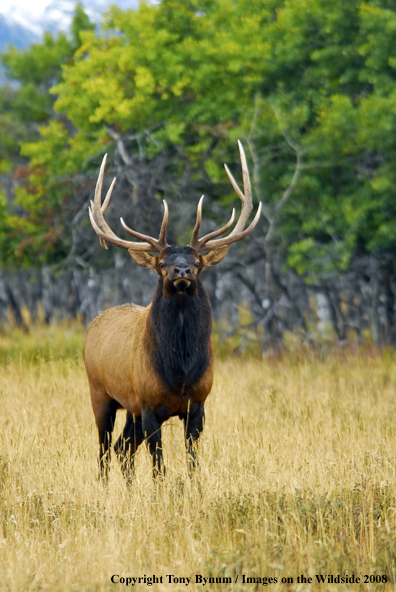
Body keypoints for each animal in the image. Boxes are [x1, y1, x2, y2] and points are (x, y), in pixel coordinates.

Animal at [83, 142, 262, 480]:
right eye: (163, 263)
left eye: (197, 262)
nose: (181, 271)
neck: (179, 372)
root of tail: (91, 327)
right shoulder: (149, 405)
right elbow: (159, 466)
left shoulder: (198, 403)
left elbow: (192, 462)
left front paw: (193, 488)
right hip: (100, 394)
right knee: (104, 452)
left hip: (130, 410)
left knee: (123, 451)